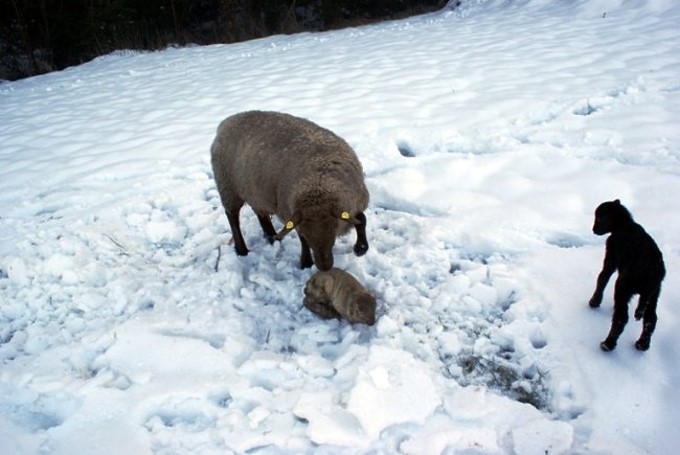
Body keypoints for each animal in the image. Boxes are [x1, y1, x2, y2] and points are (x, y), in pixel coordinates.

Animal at [212, 111, 372, 272]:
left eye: (333, 229)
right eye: (308, 235)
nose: (324, 267)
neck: (318, 181)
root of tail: (226, 121)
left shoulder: (353, 203)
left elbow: (362, 219)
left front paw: (361, 248)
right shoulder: (291, 212)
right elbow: (302, 240)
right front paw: (306, 263)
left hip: (255, 192)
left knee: (261, 214)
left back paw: (272, 237)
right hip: (228, 187)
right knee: (232, 218)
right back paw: (242, 249)